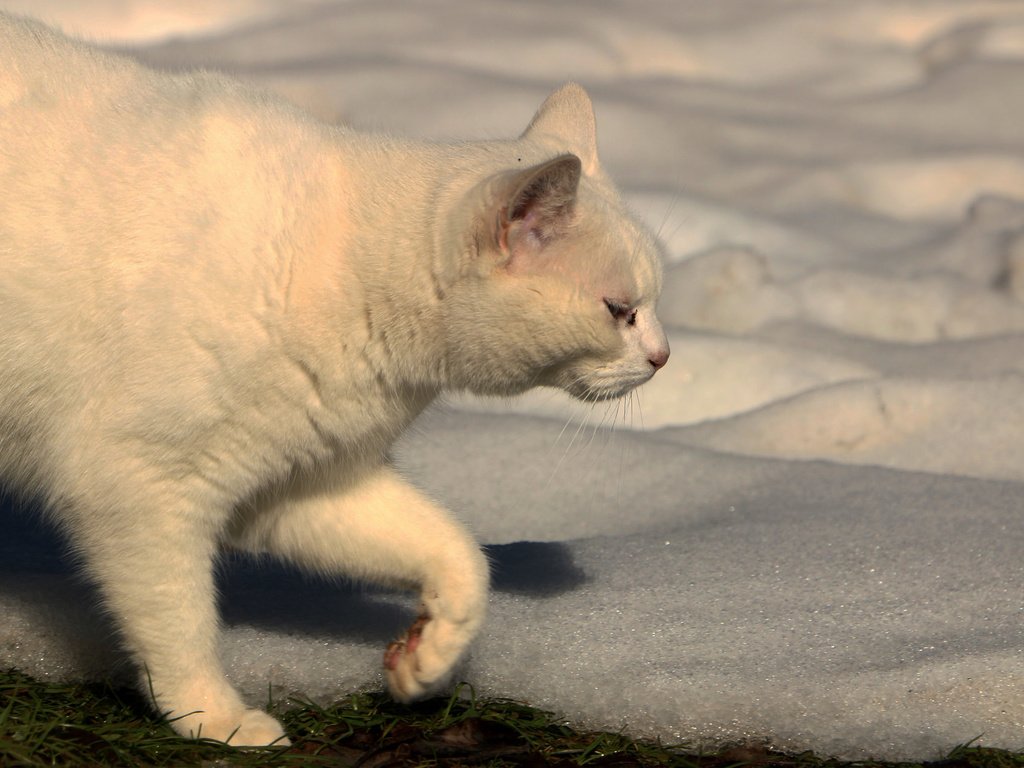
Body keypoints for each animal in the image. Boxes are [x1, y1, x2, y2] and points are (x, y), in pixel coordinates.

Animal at [0, 10, 667, 745]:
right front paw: (214, 719)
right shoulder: (137, 483)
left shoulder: (300, 483)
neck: (341, 269)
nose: (664, 356)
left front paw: (428, 656)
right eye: (620, 311)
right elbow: (177, 620)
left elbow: (458, 553)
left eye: (651, 304)